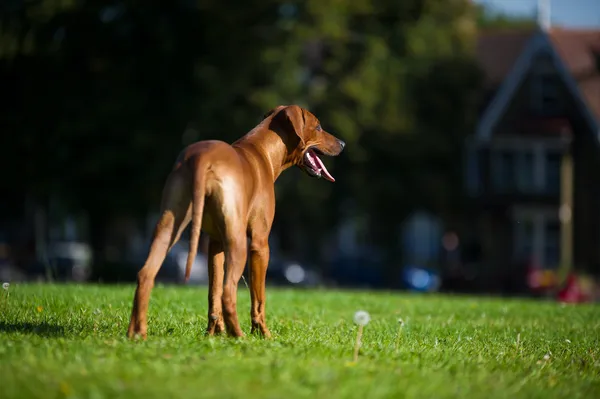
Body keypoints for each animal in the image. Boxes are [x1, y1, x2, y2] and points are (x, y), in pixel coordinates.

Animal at [126, 104, 346, 340]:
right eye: (319, 126)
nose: (343, 144)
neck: (262, 151)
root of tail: (202, 158)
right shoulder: (260, 242)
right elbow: (258, 298)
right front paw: (262, 333)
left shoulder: (215, 244)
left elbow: (213, 293)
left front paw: (214, 332)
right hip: (238, 243)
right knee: (229, 293)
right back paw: (239, 336)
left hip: (168, 227)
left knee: (145, 275)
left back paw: (136, 333)